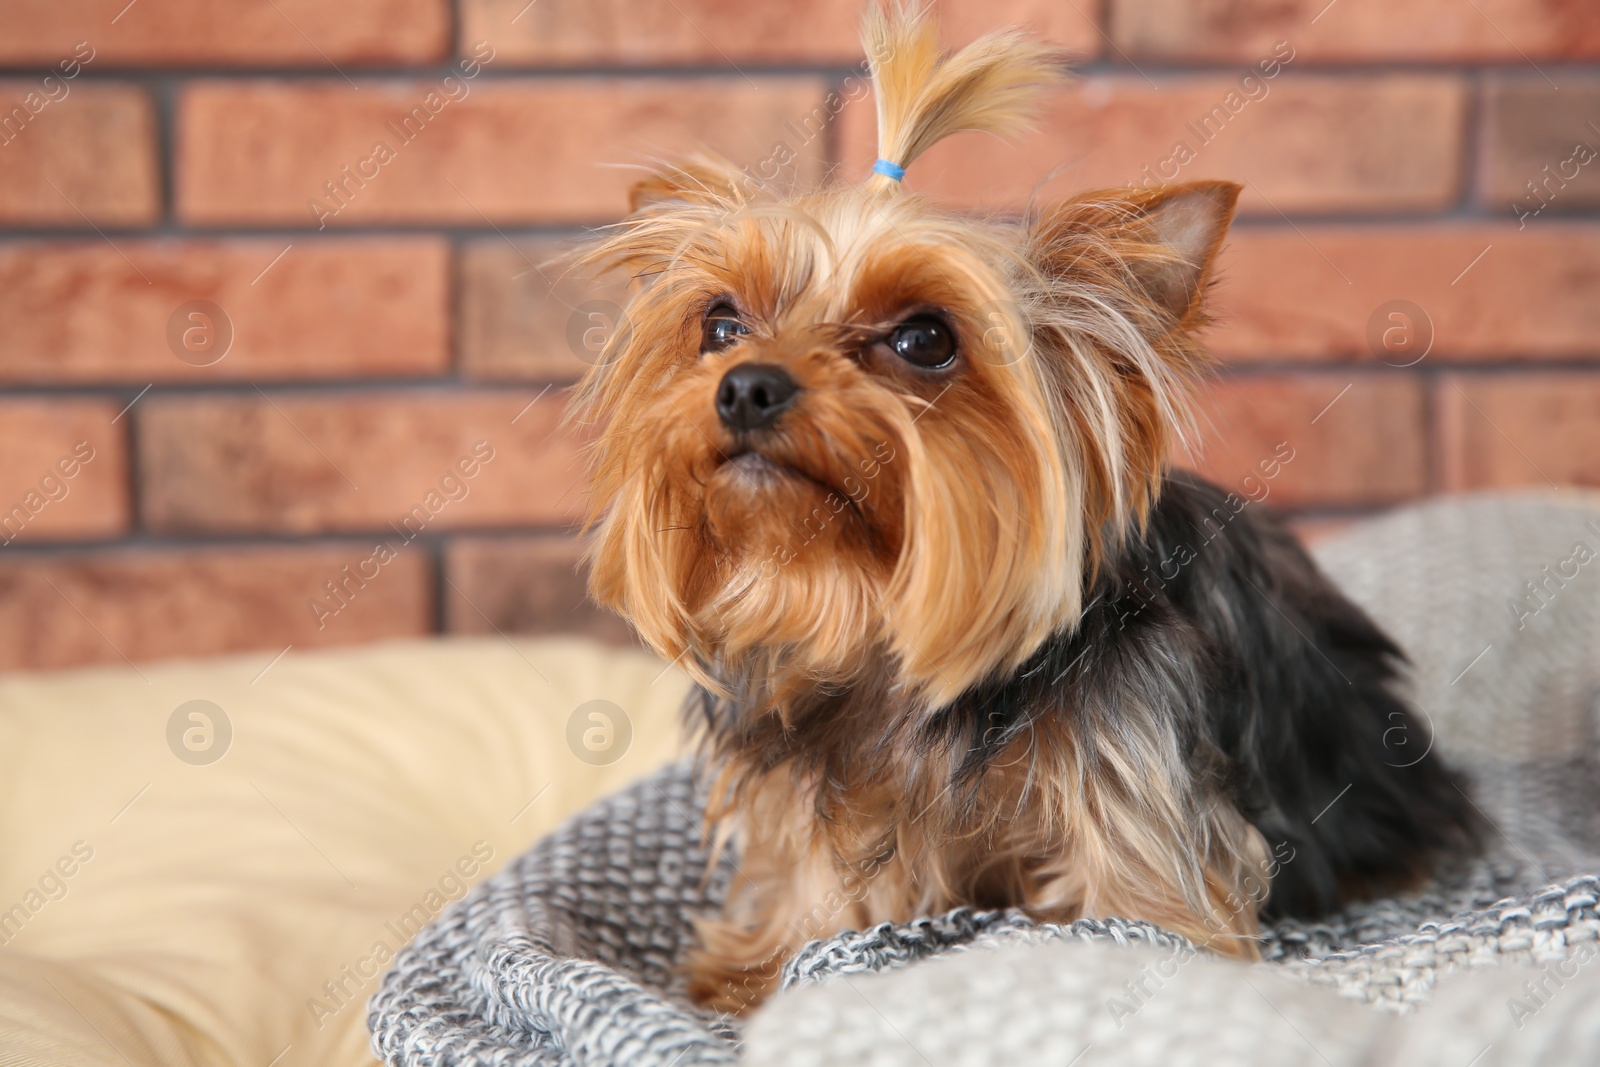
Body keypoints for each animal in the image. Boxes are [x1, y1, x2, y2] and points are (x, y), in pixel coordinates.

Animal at [569, 2, 1478, 1017]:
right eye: (720, 324)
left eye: (924, 338)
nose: (745, 386)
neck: (875, 615)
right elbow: (812, 867)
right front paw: (758, 965)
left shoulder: (1136, 785)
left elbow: (1145, 906)